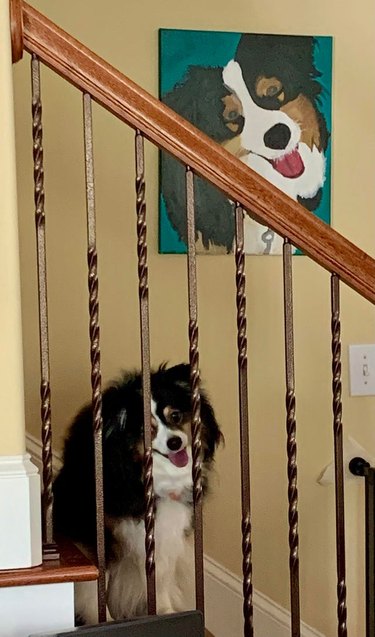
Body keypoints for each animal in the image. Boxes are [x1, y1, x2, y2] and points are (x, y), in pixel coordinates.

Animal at [53, 360, 223, 624]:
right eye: (147, 430)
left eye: (175, 416)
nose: (175, 442)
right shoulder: (97, 541)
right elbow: (95, 589)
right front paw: (103, 621)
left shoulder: (165, 532)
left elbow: (159, 576)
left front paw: (165, 612)